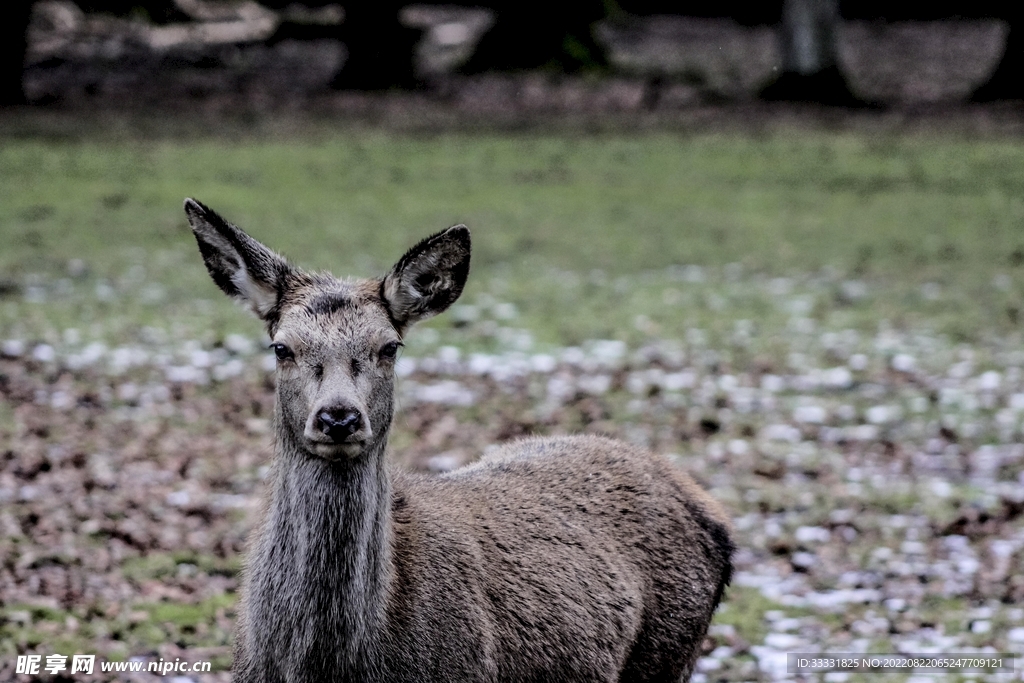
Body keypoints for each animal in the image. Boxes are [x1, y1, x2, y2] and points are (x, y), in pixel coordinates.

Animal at [183, 198, 734, 683]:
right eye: (282, 348)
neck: (333, 665)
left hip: (669, 652)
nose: (339, 417)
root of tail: (709, 509)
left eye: (390, 346)